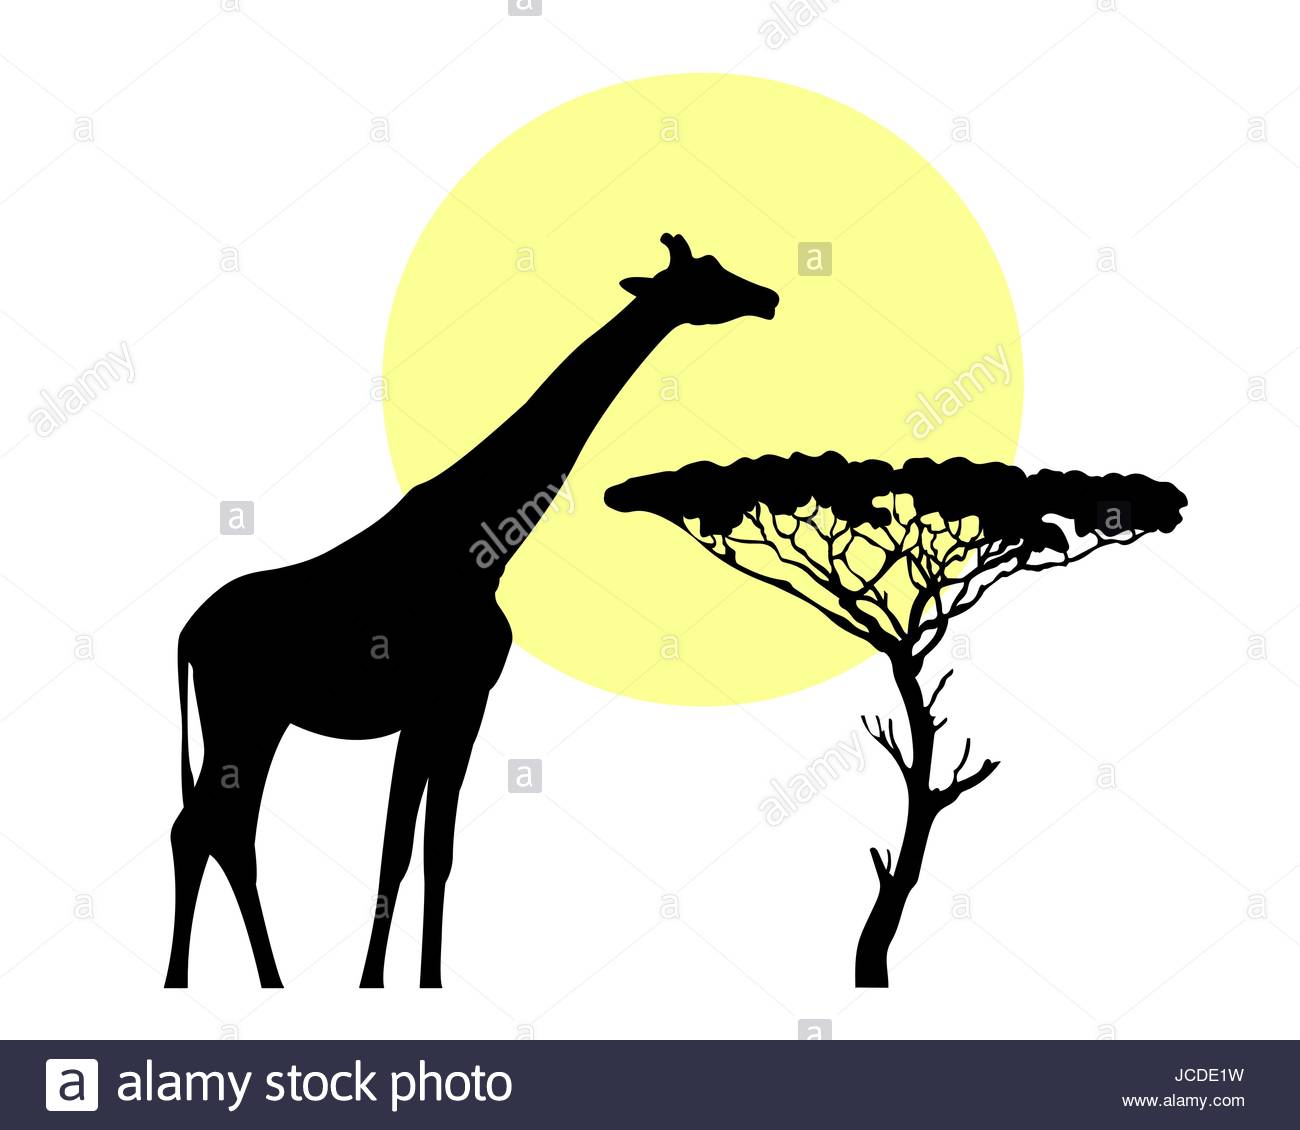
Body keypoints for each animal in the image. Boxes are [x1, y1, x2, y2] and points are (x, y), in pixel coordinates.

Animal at [164, 233, 779, 989]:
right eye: (706, 277)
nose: (768, 298)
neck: (483, 544)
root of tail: (187, 635)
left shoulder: (446, 709)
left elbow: (426, 851)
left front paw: (410, 983)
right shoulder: (452, 700)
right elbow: (409, 851)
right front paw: (387, 984)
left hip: (255, 722)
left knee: (219, 830)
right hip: (243, 717)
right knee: (207, 829)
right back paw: (207, 980)